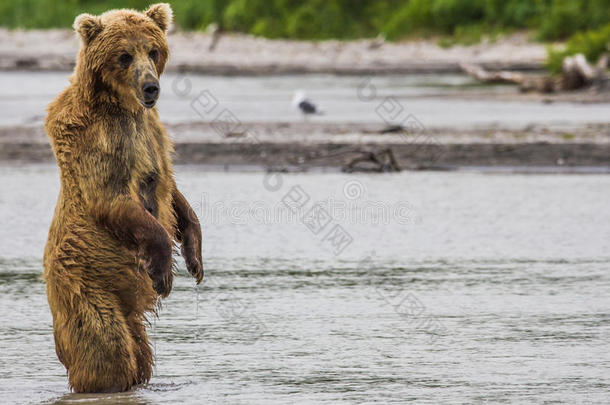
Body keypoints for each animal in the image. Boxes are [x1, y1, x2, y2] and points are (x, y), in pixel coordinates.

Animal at [44, 3, 204, 392]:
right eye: (124, 55)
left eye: (153, 50)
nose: (151, 87)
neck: (122, 106)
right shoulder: (100, 141)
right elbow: (113, 198)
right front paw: (163, 274)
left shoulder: (152, 134)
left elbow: (172, 192)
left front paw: (194, 256)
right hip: (86, 286)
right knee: (107, 348)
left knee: (139, 352)